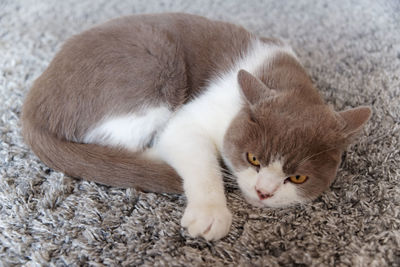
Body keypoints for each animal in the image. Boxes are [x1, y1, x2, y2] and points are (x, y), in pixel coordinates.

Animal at [21, 13, 372, 242]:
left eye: (298, 178)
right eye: (253, 158)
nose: (264, 192)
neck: (285, 79)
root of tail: (35, 98)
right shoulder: (195, 116)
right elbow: (196, 155)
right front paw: (210, 214)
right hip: (152, 68)